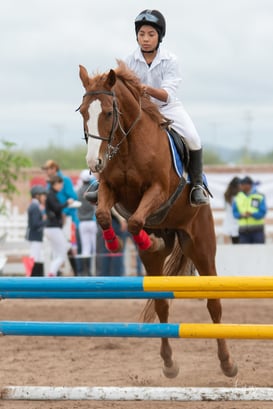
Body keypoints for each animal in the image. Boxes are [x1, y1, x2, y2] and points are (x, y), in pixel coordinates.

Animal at [77, 59, 237, 378]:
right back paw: (169, 363)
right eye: (83, 112)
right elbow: (102, 214)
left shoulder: (158, 190)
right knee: (162, 303)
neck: (127, 144)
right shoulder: (110, 189)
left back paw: (227, 363)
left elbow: (135, 221)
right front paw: (115, 243)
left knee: (214, 304)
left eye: (109, 112)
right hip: (156, 262)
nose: (94, 163)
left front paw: (142, 237)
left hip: (201, 246)